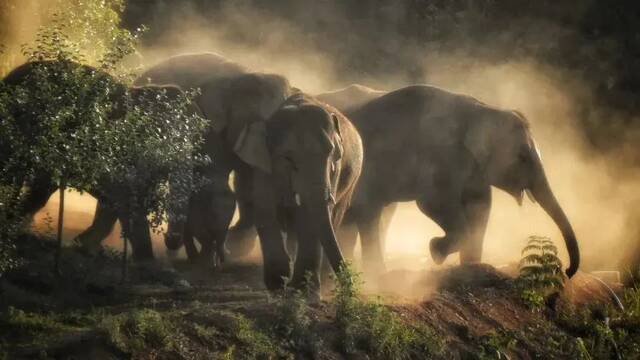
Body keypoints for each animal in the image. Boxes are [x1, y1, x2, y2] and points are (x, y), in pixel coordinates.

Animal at [0, 59, 202, 262]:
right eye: (167, 135)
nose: (171, 241)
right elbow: (125, 197)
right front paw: (145, 261)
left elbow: (115, 203)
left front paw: (84, 246)